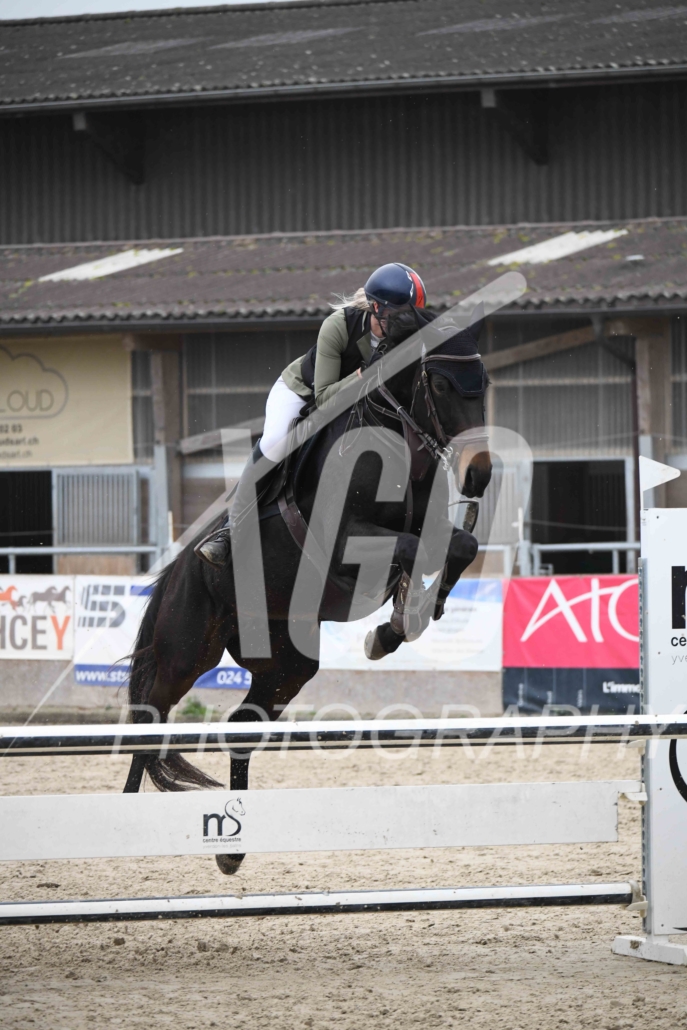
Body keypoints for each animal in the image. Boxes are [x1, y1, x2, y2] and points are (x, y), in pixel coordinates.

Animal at [124, 308, 492, 874]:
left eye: (484, 384)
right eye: (442, 383)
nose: (480, 475)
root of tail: (179, 568)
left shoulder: (425, 530)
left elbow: (460, 545)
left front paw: (396, 627)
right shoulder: (346, 541)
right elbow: (424, 548)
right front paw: (395, 626)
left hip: (286, 662)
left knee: (240, 726)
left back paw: (231, 852)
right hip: (184, 653)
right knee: (151, 715)